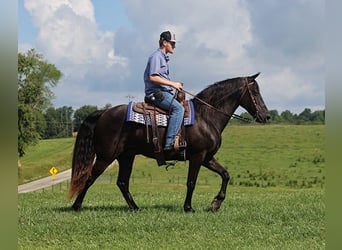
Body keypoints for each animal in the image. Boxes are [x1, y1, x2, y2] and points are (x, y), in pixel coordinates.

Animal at [67, 73, 270, 213]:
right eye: (255, 92)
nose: (266, 116)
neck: (206, 116)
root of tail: (103, 113)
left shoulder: (207, 157)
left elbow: (225, 174)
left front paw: (216, 203)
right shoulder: (197, 156)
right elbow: (191, 182)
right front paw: (188, 208)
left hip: (126, 156)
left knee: (122, 182)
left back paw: (135, 208)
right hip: (106, 156)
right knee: (90, 177)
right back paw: (76, 206)